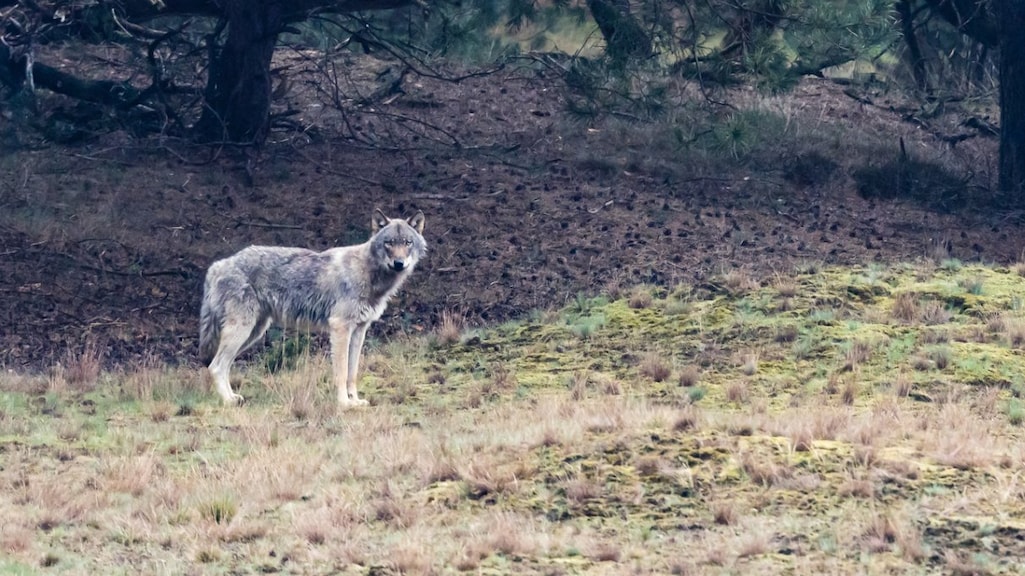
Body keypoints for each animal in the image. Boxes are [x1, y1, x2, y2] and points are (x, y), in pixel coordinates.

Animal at [198, 209, 426, 407]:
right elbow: (341, 373)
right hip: (242, 332)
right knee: (216, 366)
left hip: (252, 333)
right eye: (389, 243)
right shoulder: (340, 328)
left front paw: (355, 401)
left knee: (223, 366)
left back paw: (233, 397)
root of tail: (218, 265)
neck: (368, 273)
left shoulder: (359, 331)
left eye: (407, 243)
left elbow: (352, 373)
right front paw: (344, 404)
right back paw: (228, 402)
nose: (399, 263)